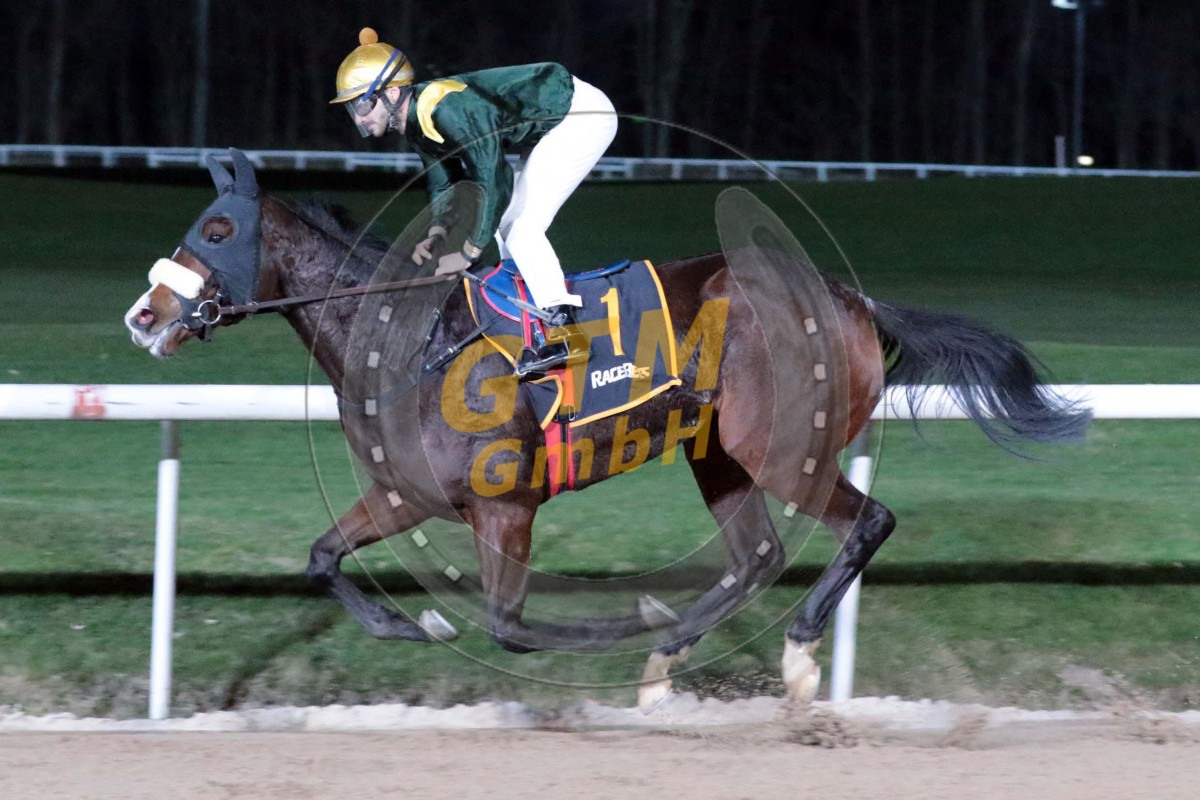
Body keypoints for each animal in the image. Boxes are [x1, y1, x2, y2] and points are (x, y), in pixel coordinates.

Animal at [124, 149, 1090, 711]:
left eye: (218, 227)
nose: (143, 316)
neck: (408, 344)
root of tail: (851, 298)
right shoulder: (408, 494)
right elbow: (323, 557)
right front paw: (415, 627)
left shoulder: (505, 505)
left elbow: (511, 623)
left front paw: (611, 626)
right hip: (721, 453)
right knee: (758, 557)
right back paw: (668, 660)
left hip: (780, 447)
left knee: (868, 523)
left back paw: (795, 656)